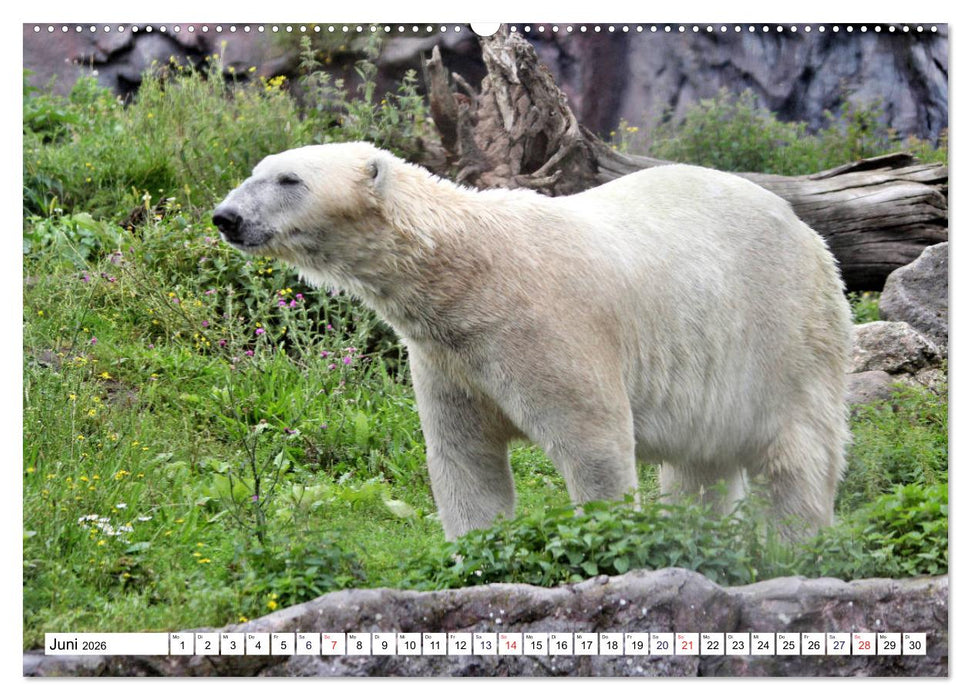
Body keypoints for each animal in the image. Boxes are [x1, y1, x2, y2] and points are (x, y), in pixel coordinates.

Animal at [213, 141, 852, 542]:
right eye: (255, 170)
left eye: (289, 180)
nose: (226, 216)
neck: (470, 274)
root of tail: (806, 229)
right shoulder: (449, 358)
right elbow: (463, 458)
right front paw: (473, 554)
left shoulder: (547, 326)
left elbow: (594, 441)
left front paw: (607, 539)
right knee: (702, 464)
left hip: (783, 330)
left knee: (798, 452)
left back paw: (793, 543)